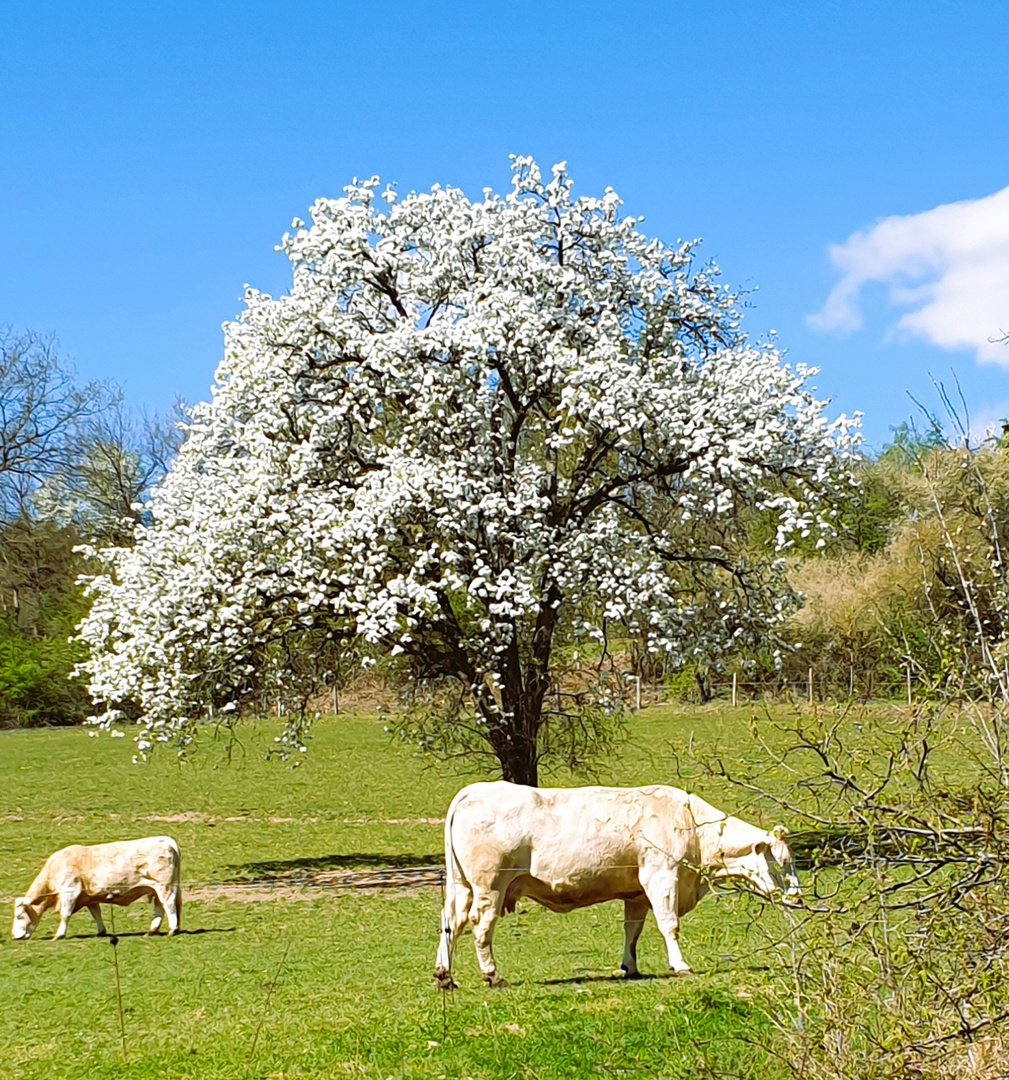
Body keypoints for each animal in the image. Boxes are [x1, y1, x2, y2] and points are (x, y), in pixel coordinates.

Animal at [12, 833, 183, 937]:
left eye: (19, 915)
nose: (14, 936)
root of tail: (165, 840)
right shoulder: (90, 897)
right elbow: (96, 913)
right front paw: (101, 931)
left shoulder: (70, 891)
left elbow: (65, 914)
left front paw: (59, 934)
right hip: (157, 888)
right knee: (160, 906)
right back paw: (152, 930)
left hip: (164, 886)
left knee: (168, 904)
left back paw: (172, 930)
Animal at [434, 786, 803, 989]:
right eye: (782, 861)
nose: (798, 898)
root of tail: (473, 790)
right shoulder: (661, 877)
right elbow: (669, 925)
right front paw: (680, 966)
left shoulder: (637, 892)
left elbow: (632, 930)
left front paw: (630, 967)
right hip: (490, 885)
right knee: (481, 926)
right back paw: (492, 975)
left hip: (462, 885)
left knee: (451, 923)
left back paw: (445, 976)